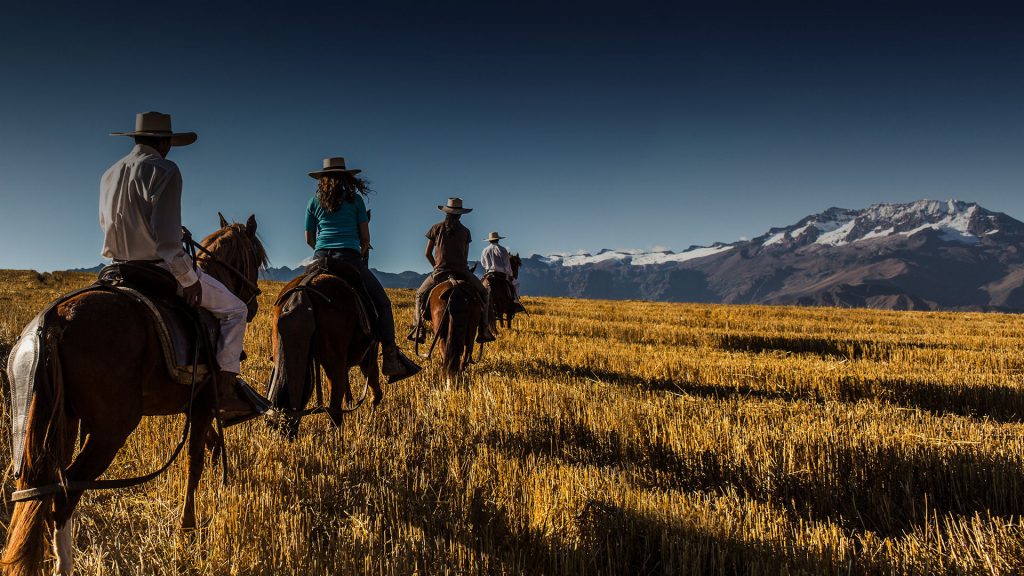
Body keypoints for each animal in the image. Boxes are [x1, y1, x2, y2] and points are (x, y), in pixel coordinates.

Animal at [2, 214, 266, 573]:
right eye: (257, 257)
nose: (253, 304)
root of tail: (56, 320)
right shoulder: (203, 401)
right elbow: (194, 462)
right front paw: (187, 527)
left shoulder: (194, 402)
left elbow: (207, 444)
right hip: (109, 431)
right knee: (64, 495)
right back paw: (64, 564)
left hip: (61, 424)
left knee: (43, 490)